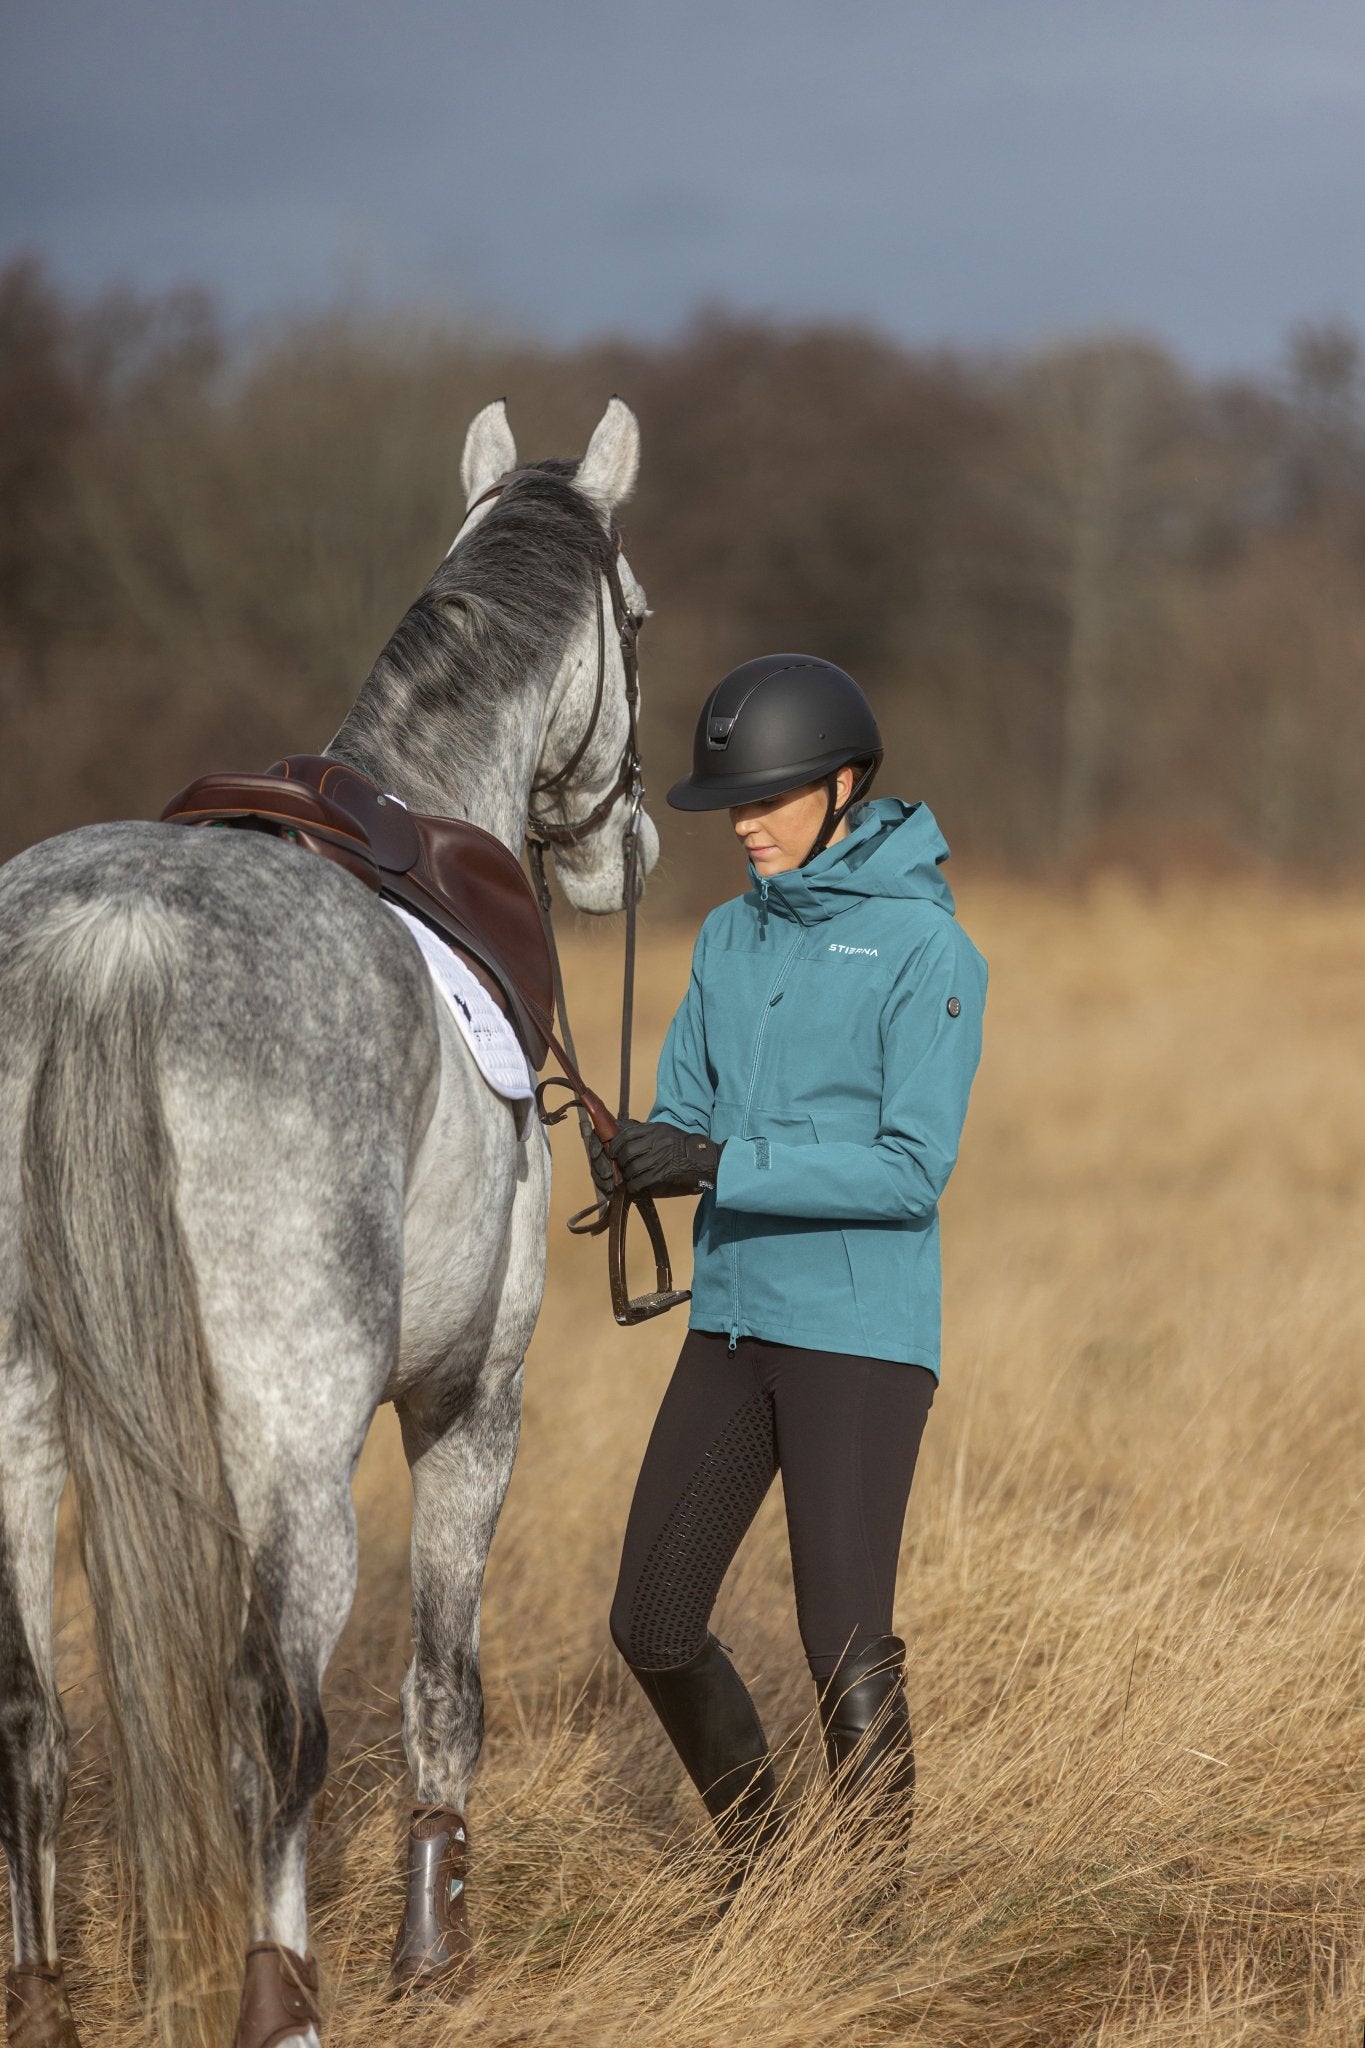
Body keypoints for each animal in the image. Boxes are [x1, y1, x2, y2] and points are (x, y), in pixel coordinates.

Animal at [0, 391, 654, 2039]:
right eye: (639, 615)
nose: (627, 852)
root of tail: (108, 937)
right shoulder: (473, 1402)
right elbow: (443, 1687)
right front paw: (438, 1949)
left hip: (22, 1422)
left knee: (27, 1717)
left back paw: (41, 1997)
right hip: (299, 1445)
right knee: (270, 1722)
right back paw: (283, 1996)